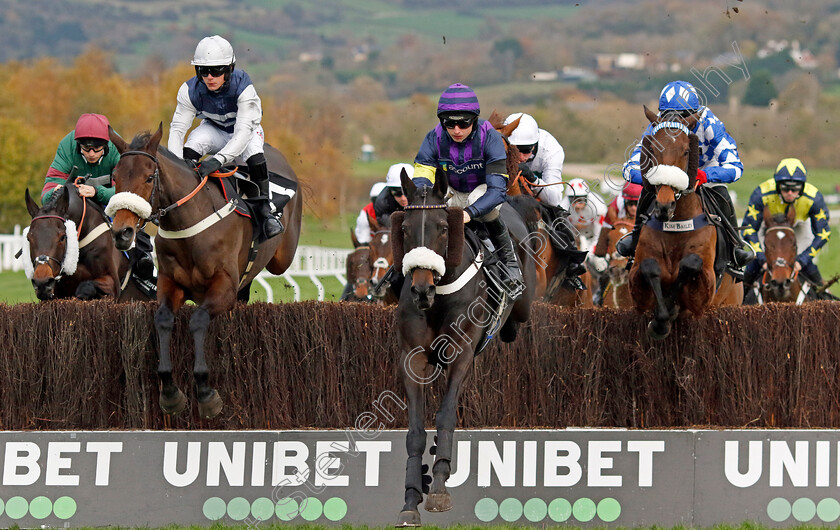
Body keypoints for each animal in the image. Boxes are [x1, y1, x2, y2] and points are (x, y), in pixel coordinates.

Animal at [104, 124, 302, 416]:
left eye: (149, 177)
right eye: (115, 177)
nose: (122, 232)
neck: (188, 224)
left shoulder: (224, 288)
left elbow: (197, 321)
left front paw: (207, 394)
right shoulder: (170, 284)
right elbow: (163, 320)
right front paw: (170, 393)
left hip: (282, 257)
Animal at [394, 166, 540, 524]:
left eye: (444, 227)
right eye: (404, 229)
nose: (421, 290)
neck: (440, 295)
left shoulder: (460, 356)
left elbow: (446, 415)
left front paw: (438, 489)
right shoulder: (412, 359)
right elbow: (415, 431)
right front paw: (410, 499)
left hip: (525, 301)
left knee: (517, 320)